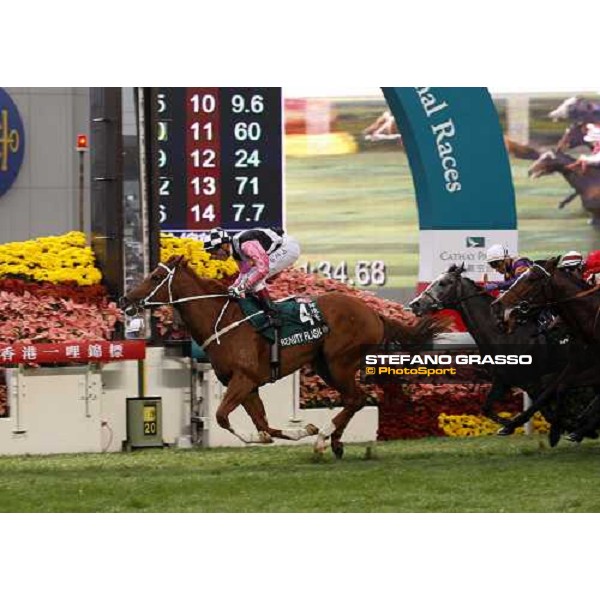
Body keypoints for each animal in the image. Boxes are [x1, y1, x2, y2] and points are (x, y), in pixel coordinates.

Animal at [119, 255, 448, 458]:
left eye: (156, 276)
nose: (125, 300)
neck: (221, 321)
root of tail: (372, 312)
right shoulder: (249, 385)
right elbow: (262, 425)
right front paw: (300, 429)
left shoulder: (243, 379)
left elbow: (223, 417)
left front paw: (306, 431)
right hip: (325, 365)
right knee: (354, 399)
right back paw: (334, 442)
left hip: (339, 362)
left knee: (356, 398)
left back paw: (323, 439)